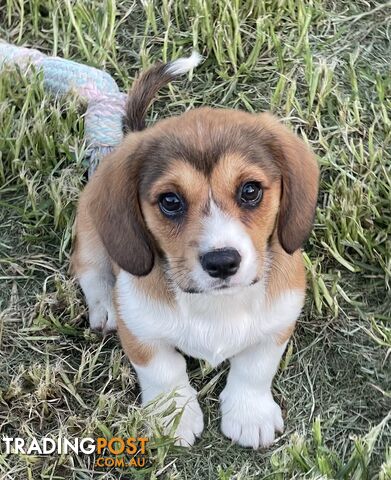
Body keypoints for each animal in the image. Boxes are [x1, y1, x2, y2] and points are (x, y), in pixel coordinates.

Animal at [72, 53, 320, 450]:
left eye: (250, 190)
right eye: (170, 201)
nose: (222, 262)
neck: (216, 304)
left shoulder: (278, 322)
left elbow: (255, 368)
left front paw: (250, 414)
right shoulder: (141, 333)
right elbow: (164, 373)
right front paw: (171, 417)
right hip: (92, 236)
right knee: (90, 270)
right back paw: (105, 307)